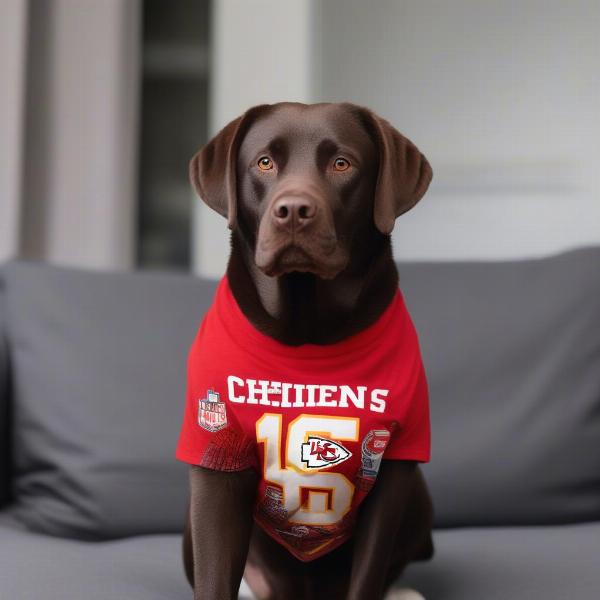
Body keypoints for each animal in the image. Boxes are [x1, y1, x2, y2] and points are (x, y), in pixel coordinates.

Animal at [176, 101, 434, 596]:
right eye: (264, 162)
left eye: (342, 164)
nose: (293, 210)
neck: (307, 329)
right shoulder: (215, 468)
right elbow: (215, 577)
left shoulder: (394, 471)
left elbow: (368, 575)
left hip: (418, 496)